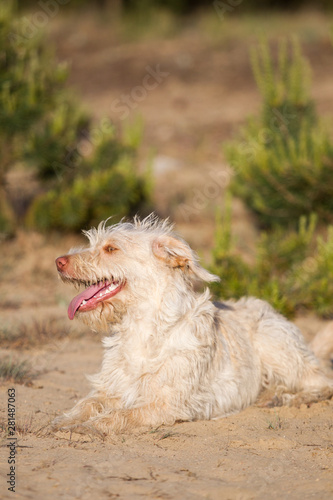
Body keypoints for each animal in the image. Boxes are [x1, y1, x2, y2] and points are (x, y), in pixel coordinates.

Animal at [53, 215, 332, 434]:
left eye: (111, 249)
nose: (59, 261)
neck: (142, 327)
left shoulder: (169, 402)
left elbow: (123, 414)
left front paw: (91, 426)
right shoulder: (114, 388)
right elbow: (88, 403)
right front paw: (65, 420)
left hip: (275, 345)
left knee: (322, 382)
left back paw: (284, 396)